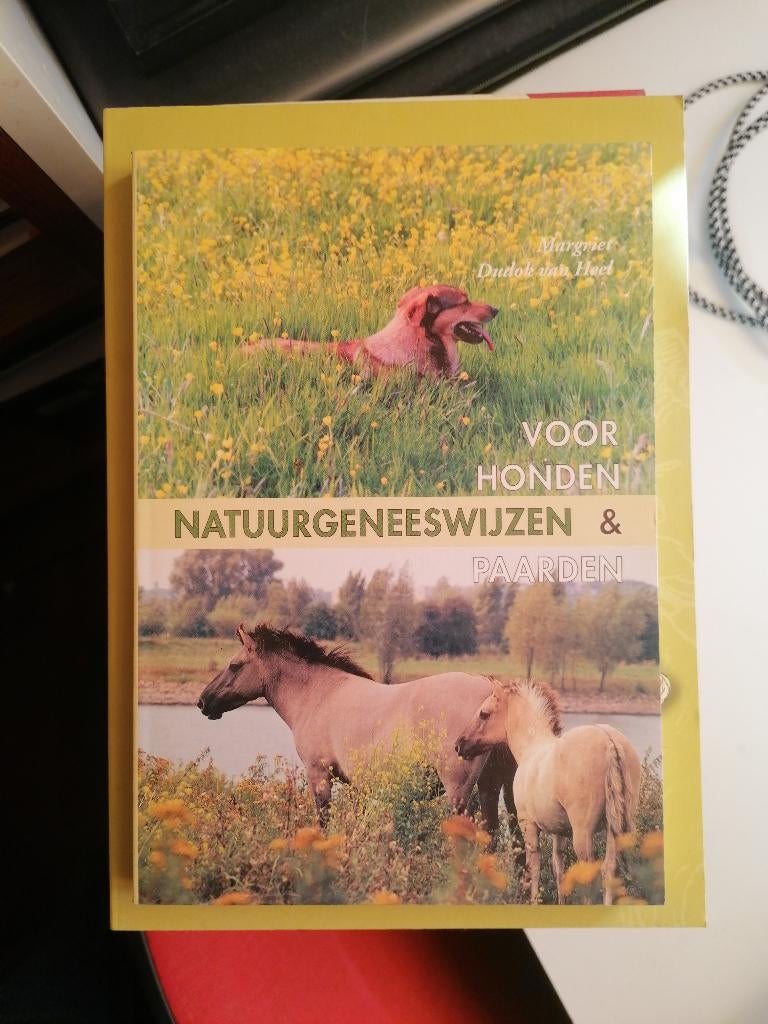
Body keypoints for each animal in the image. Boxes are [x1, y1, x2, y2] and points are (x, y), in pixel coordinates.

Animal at [197, 624, 516, 838]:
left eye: (234, 665)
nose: (202, 701)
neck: (317, 694)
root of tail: (490, 691)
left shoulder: (319, 775)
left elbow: (323, 821)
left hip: (459, 792)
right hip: (493, 787)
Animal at [455, 678, 641, 905]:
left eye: (484, 713)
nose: (459, 745)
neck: (531, 747)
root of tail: (609, 741)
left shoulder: (528, 825)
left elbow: (534, 868)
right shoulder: (559, 831)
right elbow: (557, 867)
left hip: (583, 833)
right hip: (616, 829)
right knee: (609, 870)